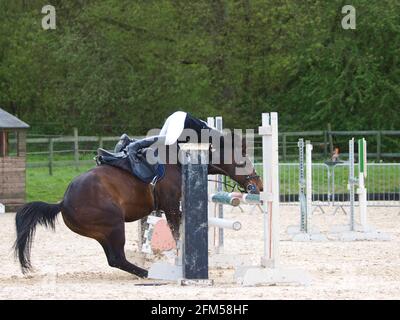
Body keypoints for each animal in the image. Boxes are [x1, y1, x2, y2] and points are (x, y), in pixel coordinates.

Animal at [13, 130, 262, 278]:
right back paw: (147, 273)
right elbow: (177, 234)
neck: (178, 161)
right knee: (117, 258)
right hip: (114, 225)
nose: (257, 185)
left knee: (114, 259)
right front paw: (180, 261)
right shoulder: (171, 207)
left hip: (102, 232)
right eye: (244, 161)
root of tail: (63, 202)